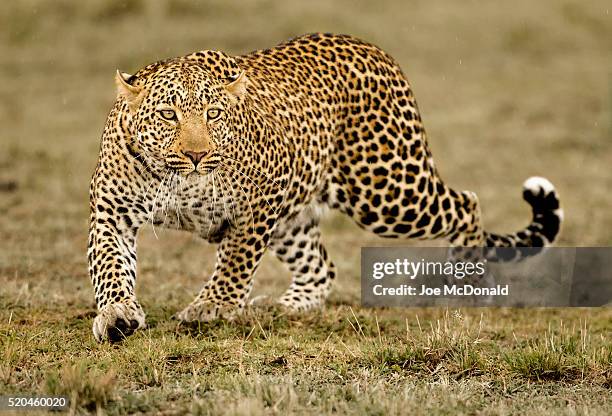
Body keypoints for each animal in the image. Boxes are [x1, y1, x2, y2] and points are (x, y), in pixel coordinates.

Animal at [88, 34, 560, 342]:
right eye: (168, 115)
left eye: (214, 114)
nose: (197, 155)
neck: (178, 180)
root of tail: (374, 49)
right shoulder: (112, 211)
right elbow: (110, 266)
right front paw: (117, 315)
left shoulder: (259, 202)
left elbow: (235, 262)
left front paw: (212, 307)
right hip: (298, 217)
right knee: (321, 266)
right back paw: (288, 305)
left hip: (387, 190)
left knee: (466, 204)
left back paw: (463, 279)